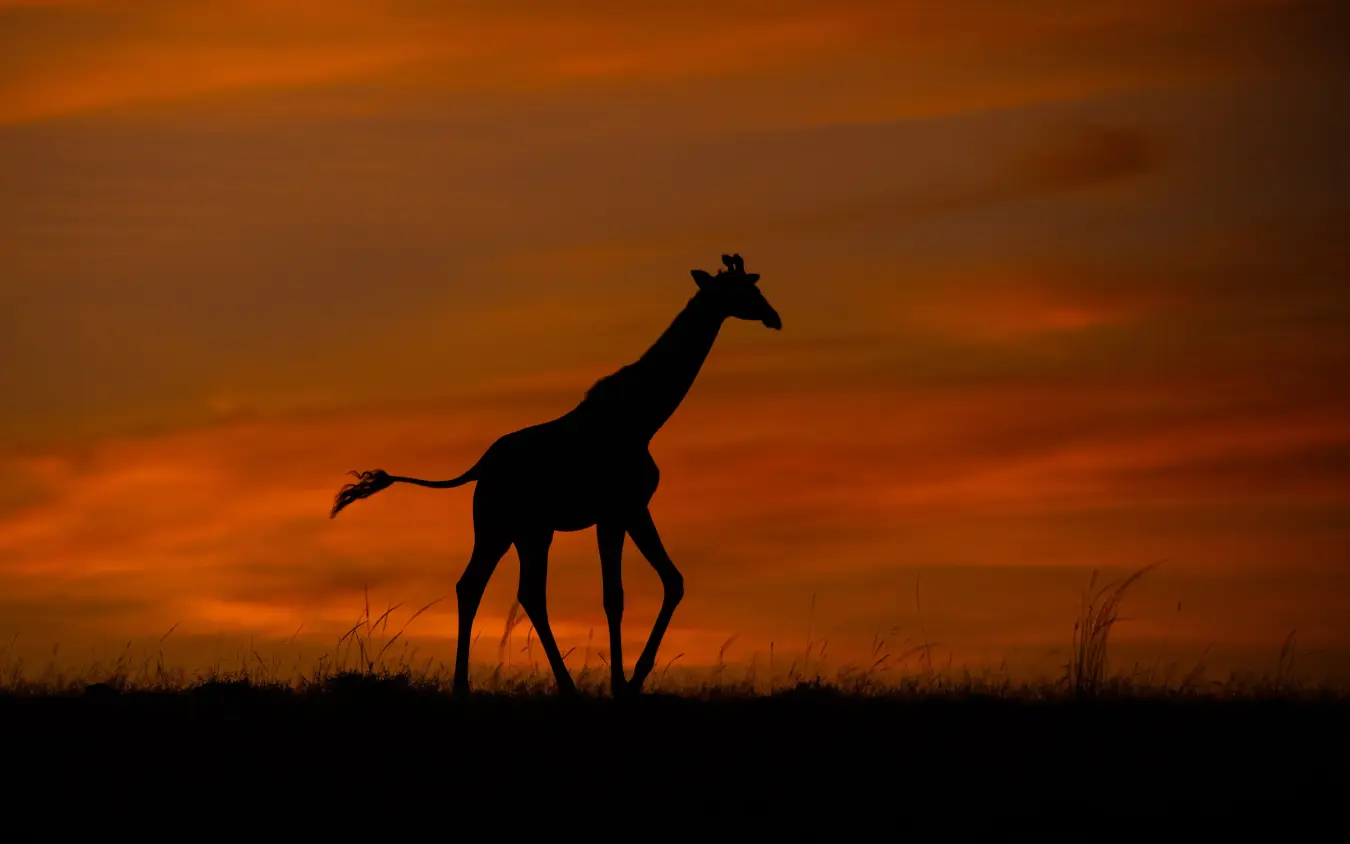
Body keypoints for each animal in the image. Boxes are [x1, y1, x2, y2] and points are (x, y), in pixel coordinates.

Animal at [329, 253, 781, 697]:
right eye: (741, 289)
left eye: (754, 285)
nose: (773, 316)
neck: (642, 418)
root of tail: (480, 467)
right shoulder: (615, 511)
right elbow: (615, 596)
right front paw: (622, 683)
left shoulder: (633, 508)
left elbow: (672, 581)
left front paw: (633, 680)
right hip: (506, 525)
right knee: (499, 588)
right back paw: (530, 686)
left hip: (522, 530)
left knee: (498, 588)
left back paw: (491, 685)